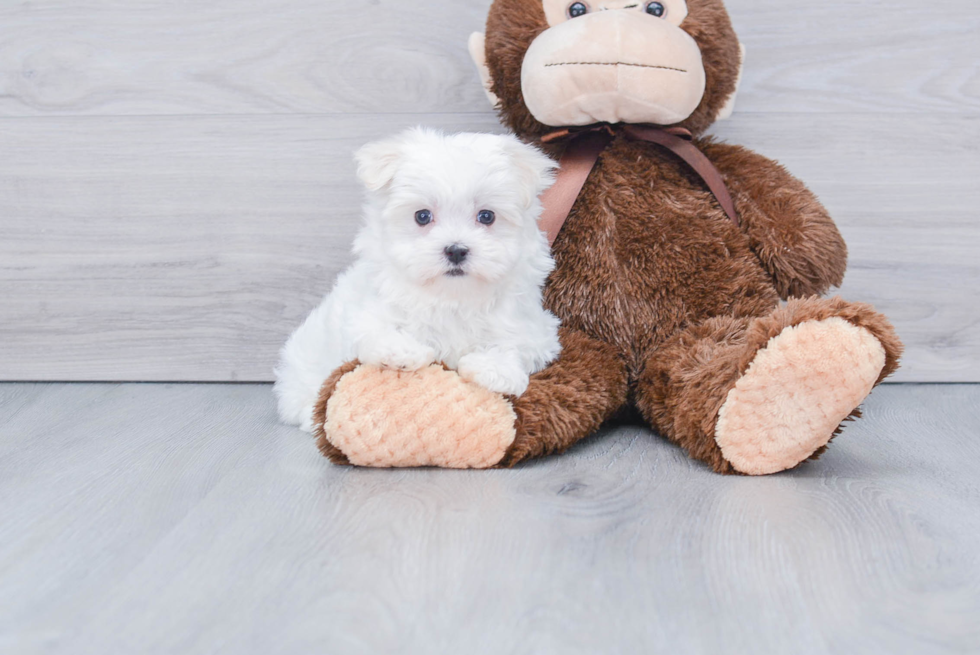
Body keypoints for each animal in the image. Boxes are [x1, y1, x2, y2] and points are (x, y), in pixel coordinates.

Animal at [276, 130, 568, 434]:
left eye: (487, 216)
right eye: (422, 216)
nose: (456, 250)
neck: (452, 296)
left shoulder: (535, 328)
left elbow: (514, 342)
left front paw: (495, 369)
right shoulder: (365, 312)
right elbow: (375, 330)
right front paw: (401, 352)